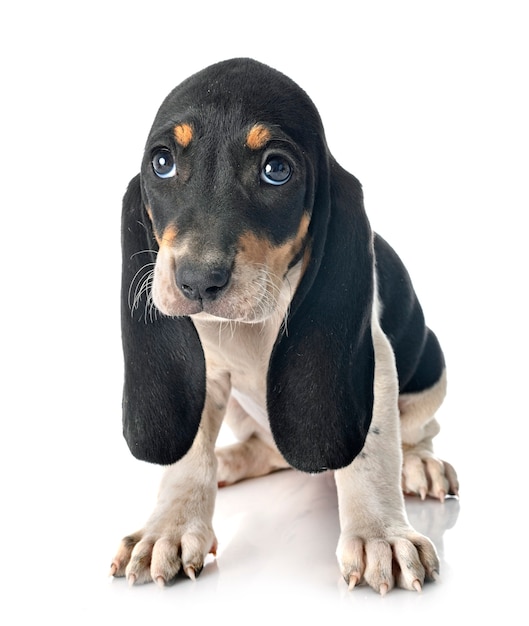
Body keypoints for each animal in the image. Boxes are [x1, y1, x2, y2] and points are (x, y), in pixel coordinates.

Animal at [110, 57, 458, 588]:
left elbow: (372, 453)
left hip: (428, 373)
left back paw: (420, 464)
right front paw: (168, 529)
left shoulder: (374, 360)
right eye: (162, 162)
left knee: (419, 430)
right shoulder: (204, 371)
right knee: (266, 449)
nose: (197, 281)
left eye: (276, 170)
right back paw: (228, 461)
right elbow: (188, 457)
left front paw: (379, 535)